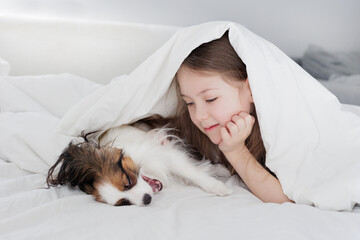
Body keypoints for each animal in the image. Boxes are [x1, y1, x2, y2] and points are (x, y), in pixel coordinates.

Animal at [46, 124, 232, 206]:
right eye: (125, 203)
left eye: (128, 181)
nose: (146, 199)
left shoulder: (166, 156)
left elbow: (193, 172)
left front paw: (219, 186)